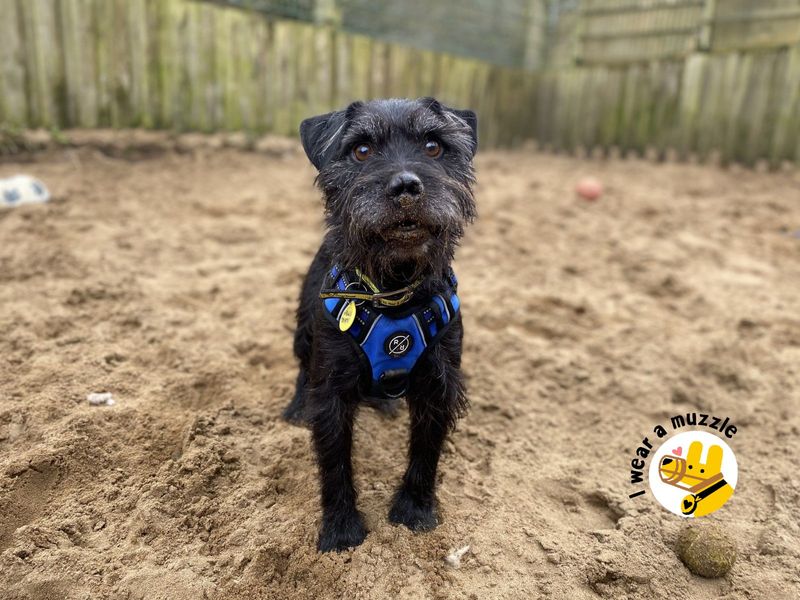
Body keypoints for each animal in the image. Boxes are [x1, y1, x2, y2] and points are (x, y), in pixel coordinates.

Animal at [284, 96, 478, 552]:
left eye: (433, 146)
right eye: (361, 150)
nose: (406, 186)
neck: (394, 291)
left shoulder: (439, 384)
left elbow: (426, 451)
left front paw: (415, 511)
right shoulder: (332, 390)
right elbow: (335, 463)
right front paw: (341, 530)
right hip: (304, 332)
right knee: (301, 367)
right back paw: (297, 407)